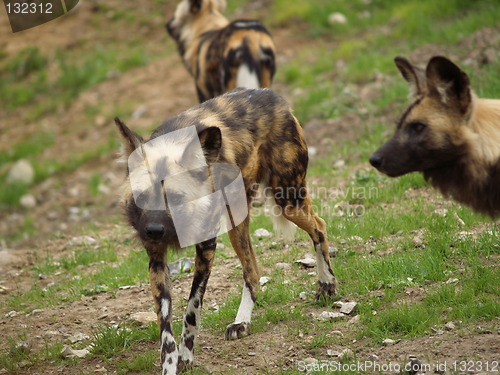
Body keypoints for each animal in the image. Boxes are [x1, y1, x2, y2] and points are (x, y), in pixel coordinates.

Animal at [115, 87, 338, 374]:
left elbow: (192, 308)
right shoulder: (156, 258)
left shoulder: (206, 248)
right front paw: (170, 364)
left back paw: (327, 283)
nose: (153, 230)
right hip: (237, 223)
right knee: (252, 270)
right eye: (142, 197)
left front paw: (187, 355)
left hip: (288, 200)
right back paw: (242, 322)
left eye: (175, 198)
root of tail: (272, 95)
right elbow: (165, 327)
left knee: (319, 226)